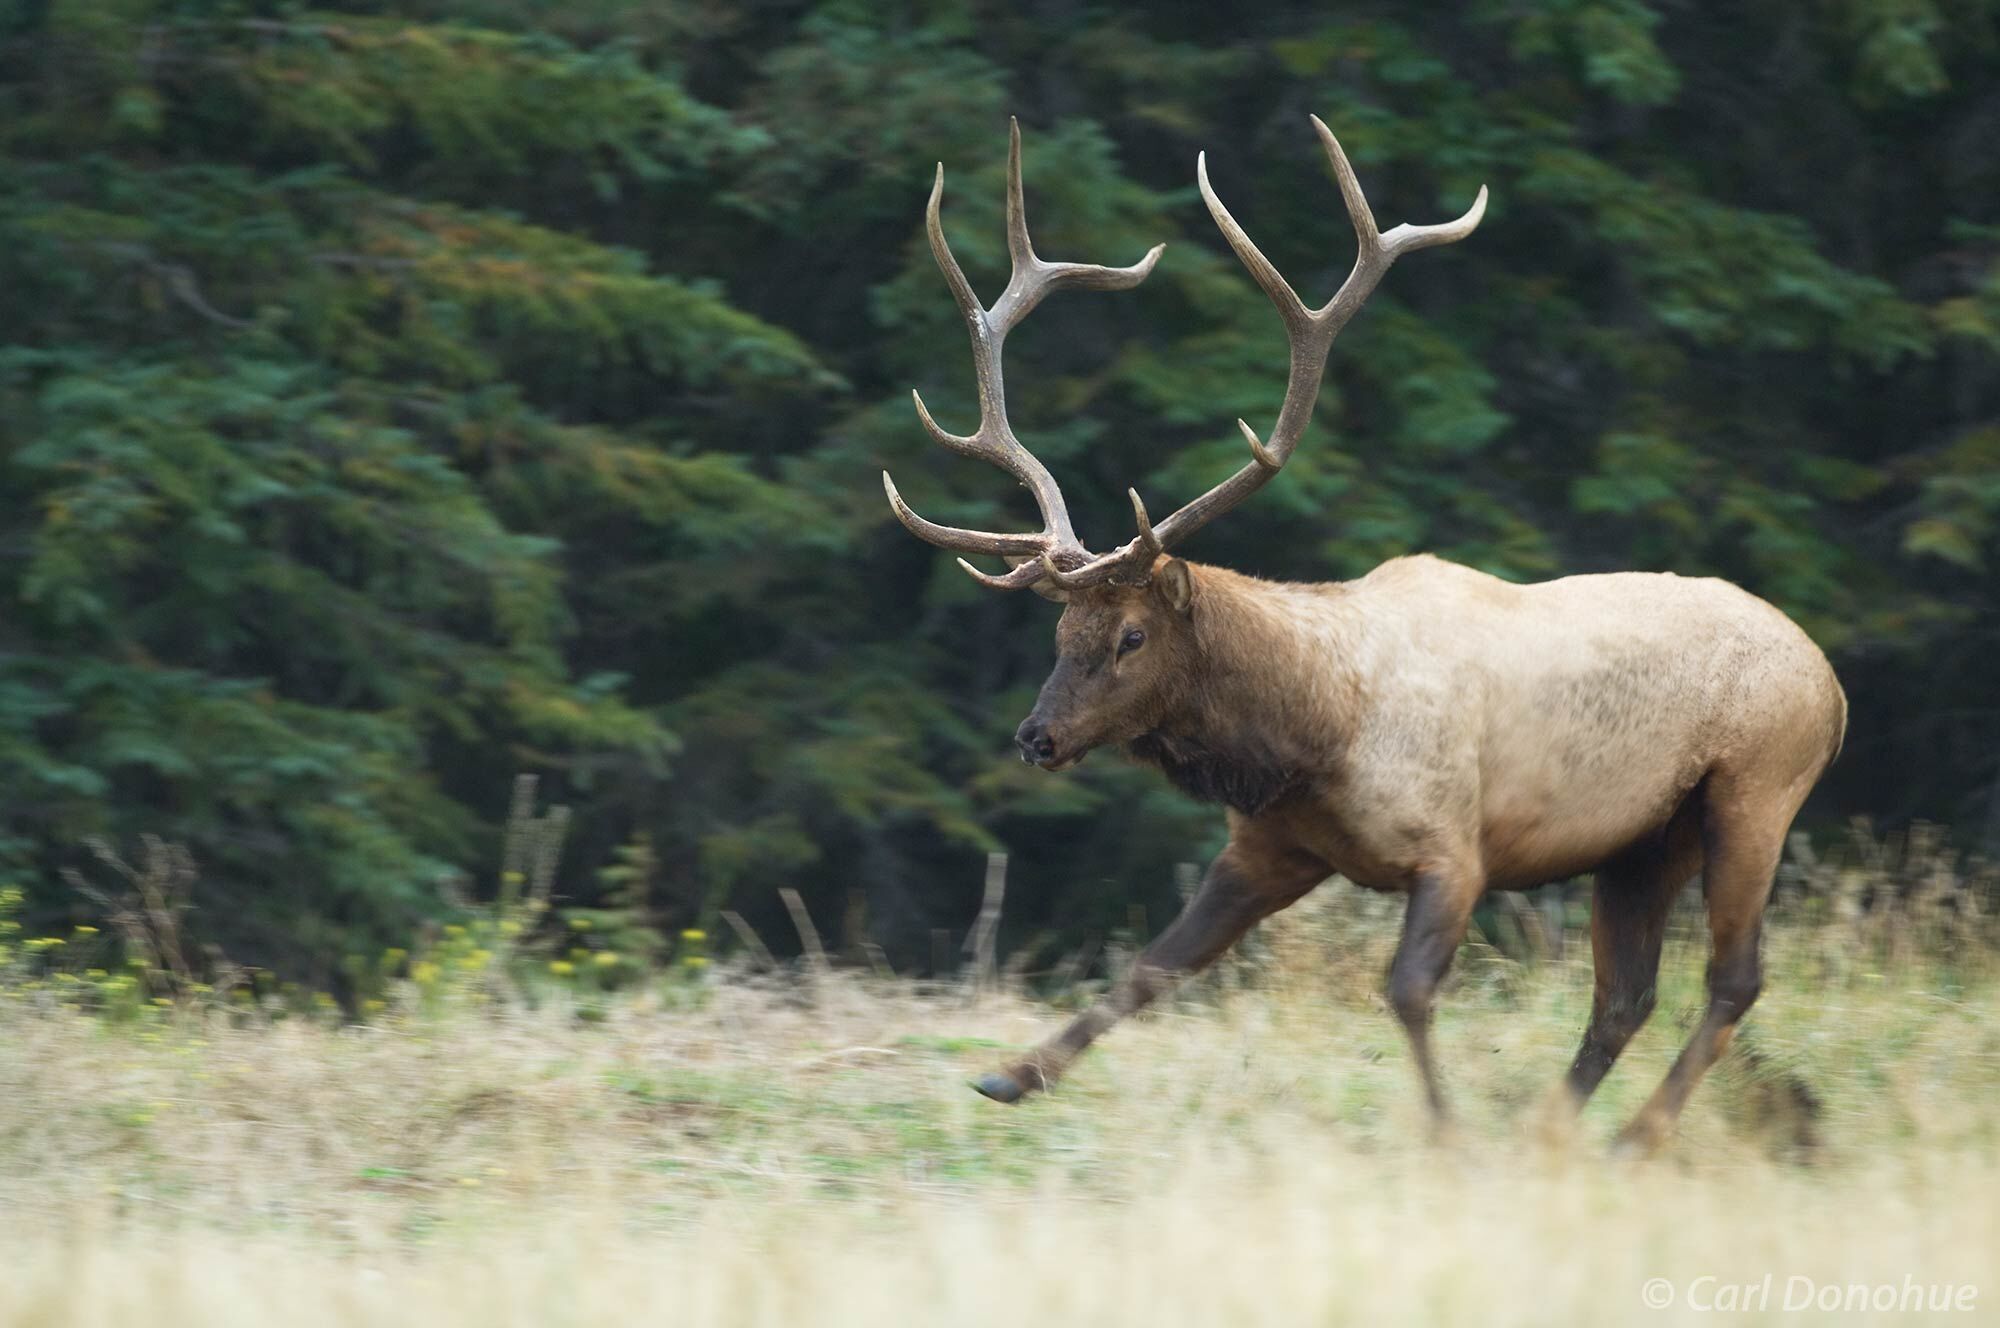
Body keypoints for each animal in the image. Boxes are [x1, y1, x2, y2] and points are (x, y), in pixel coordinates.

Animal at [884, 116, 1848, 1152]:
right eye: (1063, 627)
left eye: (1132, 636)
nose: (1037, 736)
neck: (1314, 733)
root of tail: (1833, 688)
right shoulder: (1271, 846)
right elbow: (1155, 965)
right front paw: (1011, 1075)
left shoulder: (1455, 850)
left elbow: (1407, 990)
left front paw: (1444, 1131)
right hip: (1642, 843)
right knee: (1627, 995)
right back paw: (1551, 1130)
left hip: (1755, 790)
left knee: (1732, 979)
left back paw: (1633, 1137)